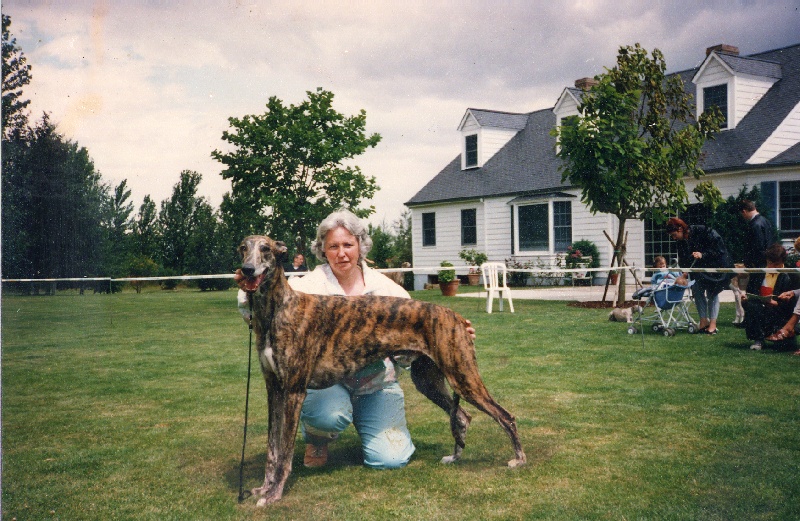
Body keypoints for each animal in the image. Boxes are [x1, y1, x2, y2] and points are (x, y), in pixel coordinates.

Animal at [236, 235, 526, 506]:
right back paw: (454, 457)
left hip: (463, 377)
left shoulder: (294, 391)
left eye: (266, 249)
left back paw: (519, 459)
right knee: (463, 417)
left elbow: (284, 452)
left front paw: (274, 494)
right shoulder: (275, 390)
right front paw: (264, 488)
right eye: (242, 248)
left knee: (506, 416)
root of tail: (455, 316)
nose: (247, 269)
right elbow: (272, 449)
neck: (278, 309)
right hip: (428, 380)